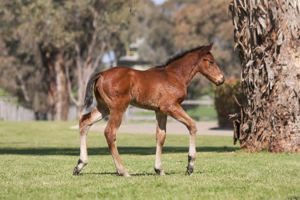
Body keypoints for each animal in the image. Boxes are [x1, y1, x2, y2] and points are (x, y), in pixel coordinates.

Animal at [72, 44, 223, 177]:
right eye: (211, 61)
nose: (221, 79)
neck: (175, 75)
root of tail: (101, 74)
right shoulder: (170, 106)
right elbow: (192, 125)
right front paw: (190, 166)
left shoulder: (160, 111)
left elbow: (160, 136)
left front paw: (159, 169)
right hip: (118, 107)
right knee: (110, 132)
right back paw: (123, 171)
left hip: (104, 107)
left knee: (84, 121)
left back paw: (79, 165)